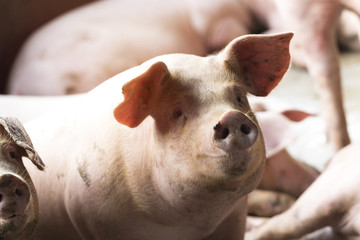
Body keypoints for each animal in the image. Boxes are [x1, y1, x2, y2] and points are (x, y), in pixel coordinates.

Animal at [0, 32, 292, 240]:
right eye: (176, 112)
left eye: (239, 98)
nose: (231, 117)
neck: (189, 224)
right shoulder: (97, 220)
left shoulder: (233, 218)